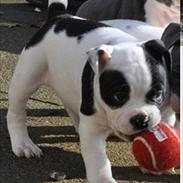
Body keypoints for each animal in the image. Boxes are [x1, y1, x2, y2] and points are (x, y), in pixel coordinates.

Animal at [7, 0, 173, 182]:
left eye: (157, 94)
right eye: (118, 96)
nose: (141, 120)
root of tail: (59, 17)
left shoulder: (166, 114)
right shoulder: (92, 129)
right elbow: (98, 159)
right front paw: (103, 179)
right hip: (27, 76)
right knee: (16, 111)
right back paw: (23, 143)